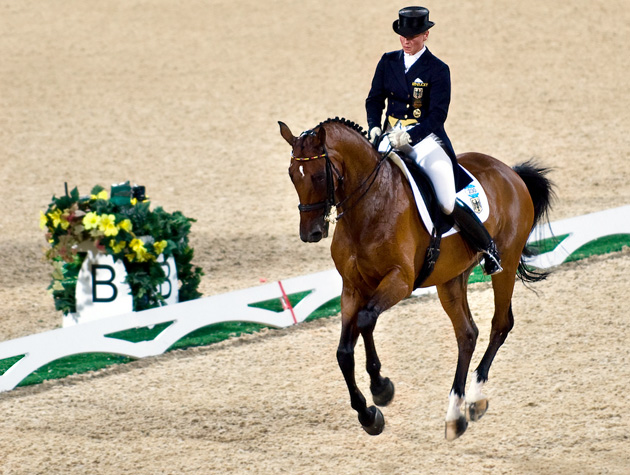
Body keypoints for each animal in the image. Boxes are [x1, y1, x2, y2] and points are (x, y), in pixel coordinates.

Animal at [278, 117, 556, 440]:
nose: (310, 233)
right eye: (291, 175)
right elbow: (345, 351)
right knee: (467, 334)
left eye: (319, 175)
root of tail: (510, 172)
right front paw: (369, 413)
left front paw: (380, 389)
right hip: (451, 279)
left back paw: (474, 400)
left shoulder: (400, 281)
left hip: (506, 264)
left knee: (500, 325)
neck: (370, 207)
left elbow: (365, 320)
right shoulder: (353, 288)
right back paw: (454, 415)